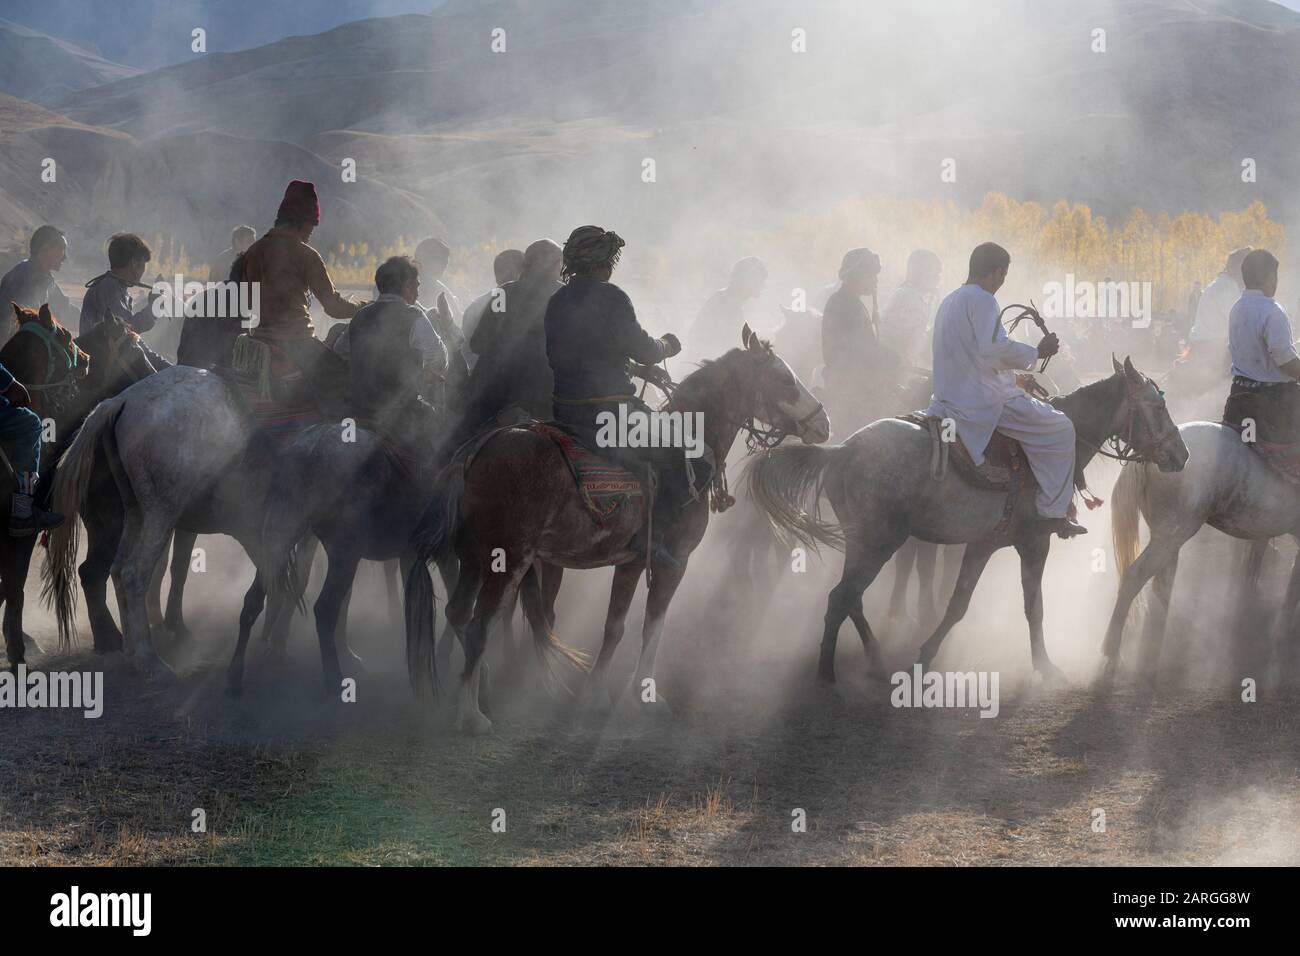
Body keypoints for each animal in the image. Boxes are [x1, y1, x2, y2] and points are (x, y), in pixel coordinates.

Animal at [405, 325, 832, 738]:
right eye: (784, 379)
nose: (824, 423)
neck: (688, 447)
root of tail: (478, 450)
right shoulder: (674, 563)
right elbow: (653, 628)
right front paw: (645, 697)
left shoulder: (630, 563)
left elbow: (615, 626)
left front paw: (596, 695)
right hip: (505, 560)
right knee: (480, 625)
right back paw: (470, 714)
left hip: (473, 558)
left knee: (458, 613)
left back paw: (484, 684)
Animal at [754, 356, 1190, 686]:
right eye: (1158, 407)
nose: (1181, 454)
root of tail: (841, 451)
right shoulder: (1035, 543)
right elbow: (1033, 606)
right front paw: (1045, 667)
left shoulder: (983, 544)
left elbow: (958, 604)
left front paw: (925, 657)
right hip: (879, 543)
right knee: (841, 597)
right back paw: (827, 673)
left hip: (865, 544)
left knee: (851, 598)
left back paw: (875, 660)